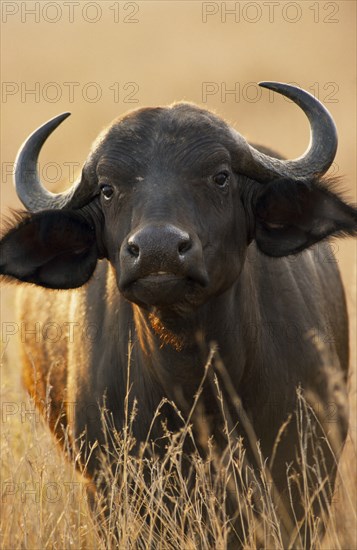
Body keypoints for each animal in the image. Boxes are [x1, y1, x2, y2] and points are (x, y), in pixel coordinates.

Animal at [0, 84, 356, 548]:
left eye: (220, 176)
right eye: (108, 189)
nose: (158, 250)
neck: (195, 383)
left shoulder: (304, 480)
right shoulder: (108, 489)